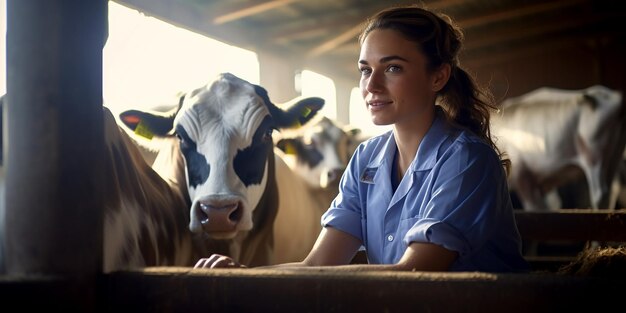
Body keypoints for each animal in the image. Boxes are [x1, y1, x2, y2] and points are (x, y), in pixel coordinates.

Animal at [492, 84, 624, 210]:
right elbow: (552, 204)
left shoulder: (523, 177)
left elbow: (536, 207)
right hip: (615, 157)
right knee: (612, 190)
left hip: (593, 155)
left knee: (600, 194)